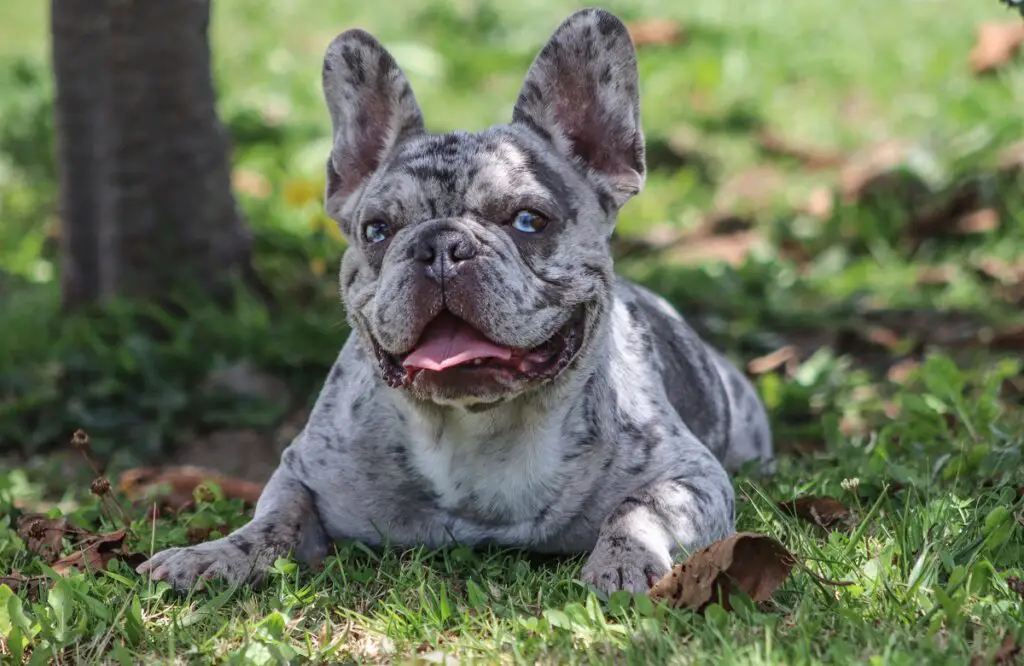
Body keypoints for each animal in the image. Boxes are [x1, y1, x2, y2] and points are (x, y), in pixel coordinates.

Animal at [138, 7, 774, 594]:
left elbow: (638, 510)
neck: (478, 430)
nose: (441, 245)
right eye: (377, 230)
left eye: (528, 221)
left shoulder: (689, 476)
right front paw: (213, 554)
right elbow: (271, 521)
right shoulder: (303, 473)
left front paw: (623, 563)